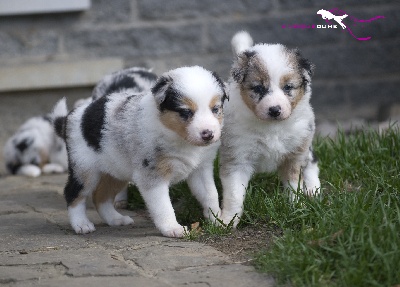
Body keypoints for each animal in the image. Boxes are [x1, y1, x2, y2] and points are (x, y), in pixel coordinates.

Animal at [52, 66, 228, 238]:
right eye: (185, 112)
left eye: (215, 109)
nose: (208, 134)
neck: (175, 135)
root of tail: (70, 117)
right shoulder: (153, 175)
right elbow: (164, 206)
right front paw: (173, 228)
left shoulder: (201, 169)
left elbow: (210, 195)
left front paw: (218, 222)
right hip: (85, 169)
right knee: (73, 193)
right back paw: (81, 225)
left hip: (116, 171)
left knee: (101, 197)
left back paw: (116, 219)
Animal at [217, 31, 320, 227]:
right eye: (258, 88)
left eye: (288, 87)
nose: (274, 110)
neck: (272, 127)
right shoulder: (237, 157)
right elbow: (234, 194)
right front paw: (227, 221)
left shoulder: (294, 155)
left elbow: (294, 184)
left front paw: (296, 206)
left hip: (305, 138)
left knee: (311, 161)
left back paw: (313, 189)